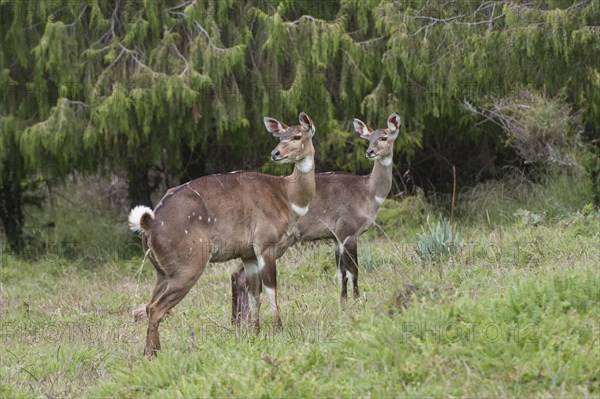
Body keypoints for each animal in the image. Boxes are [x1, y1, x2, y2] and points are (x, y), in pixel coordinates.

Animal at [130, 112, 318, 360]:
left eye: (297, 136)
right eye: (280, 137)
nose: (275, 153)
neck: (287, 197)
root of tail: (148, 224)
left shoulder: (248, 254)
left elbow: (254, 293)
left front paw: (255, 333)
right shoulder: (265, 243)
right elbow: (271, 290)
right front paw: (279, 331)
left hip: (162, 271)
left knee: (149, 303)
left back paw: (150, 352)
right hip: (187, 266)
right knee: (157, 308)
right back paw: (153, 356)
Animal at [232, 113, 400, 324]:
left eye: (383, 137)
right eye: (369, 139)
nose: (370, 152)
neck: (367, 194)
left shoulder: (335, 236)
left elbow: (341, 272)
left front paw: (343, 305)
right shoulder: (347, 230)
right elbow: (353, 270)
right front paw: (358, 302)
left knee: (238, 274)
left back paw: (238, 322)